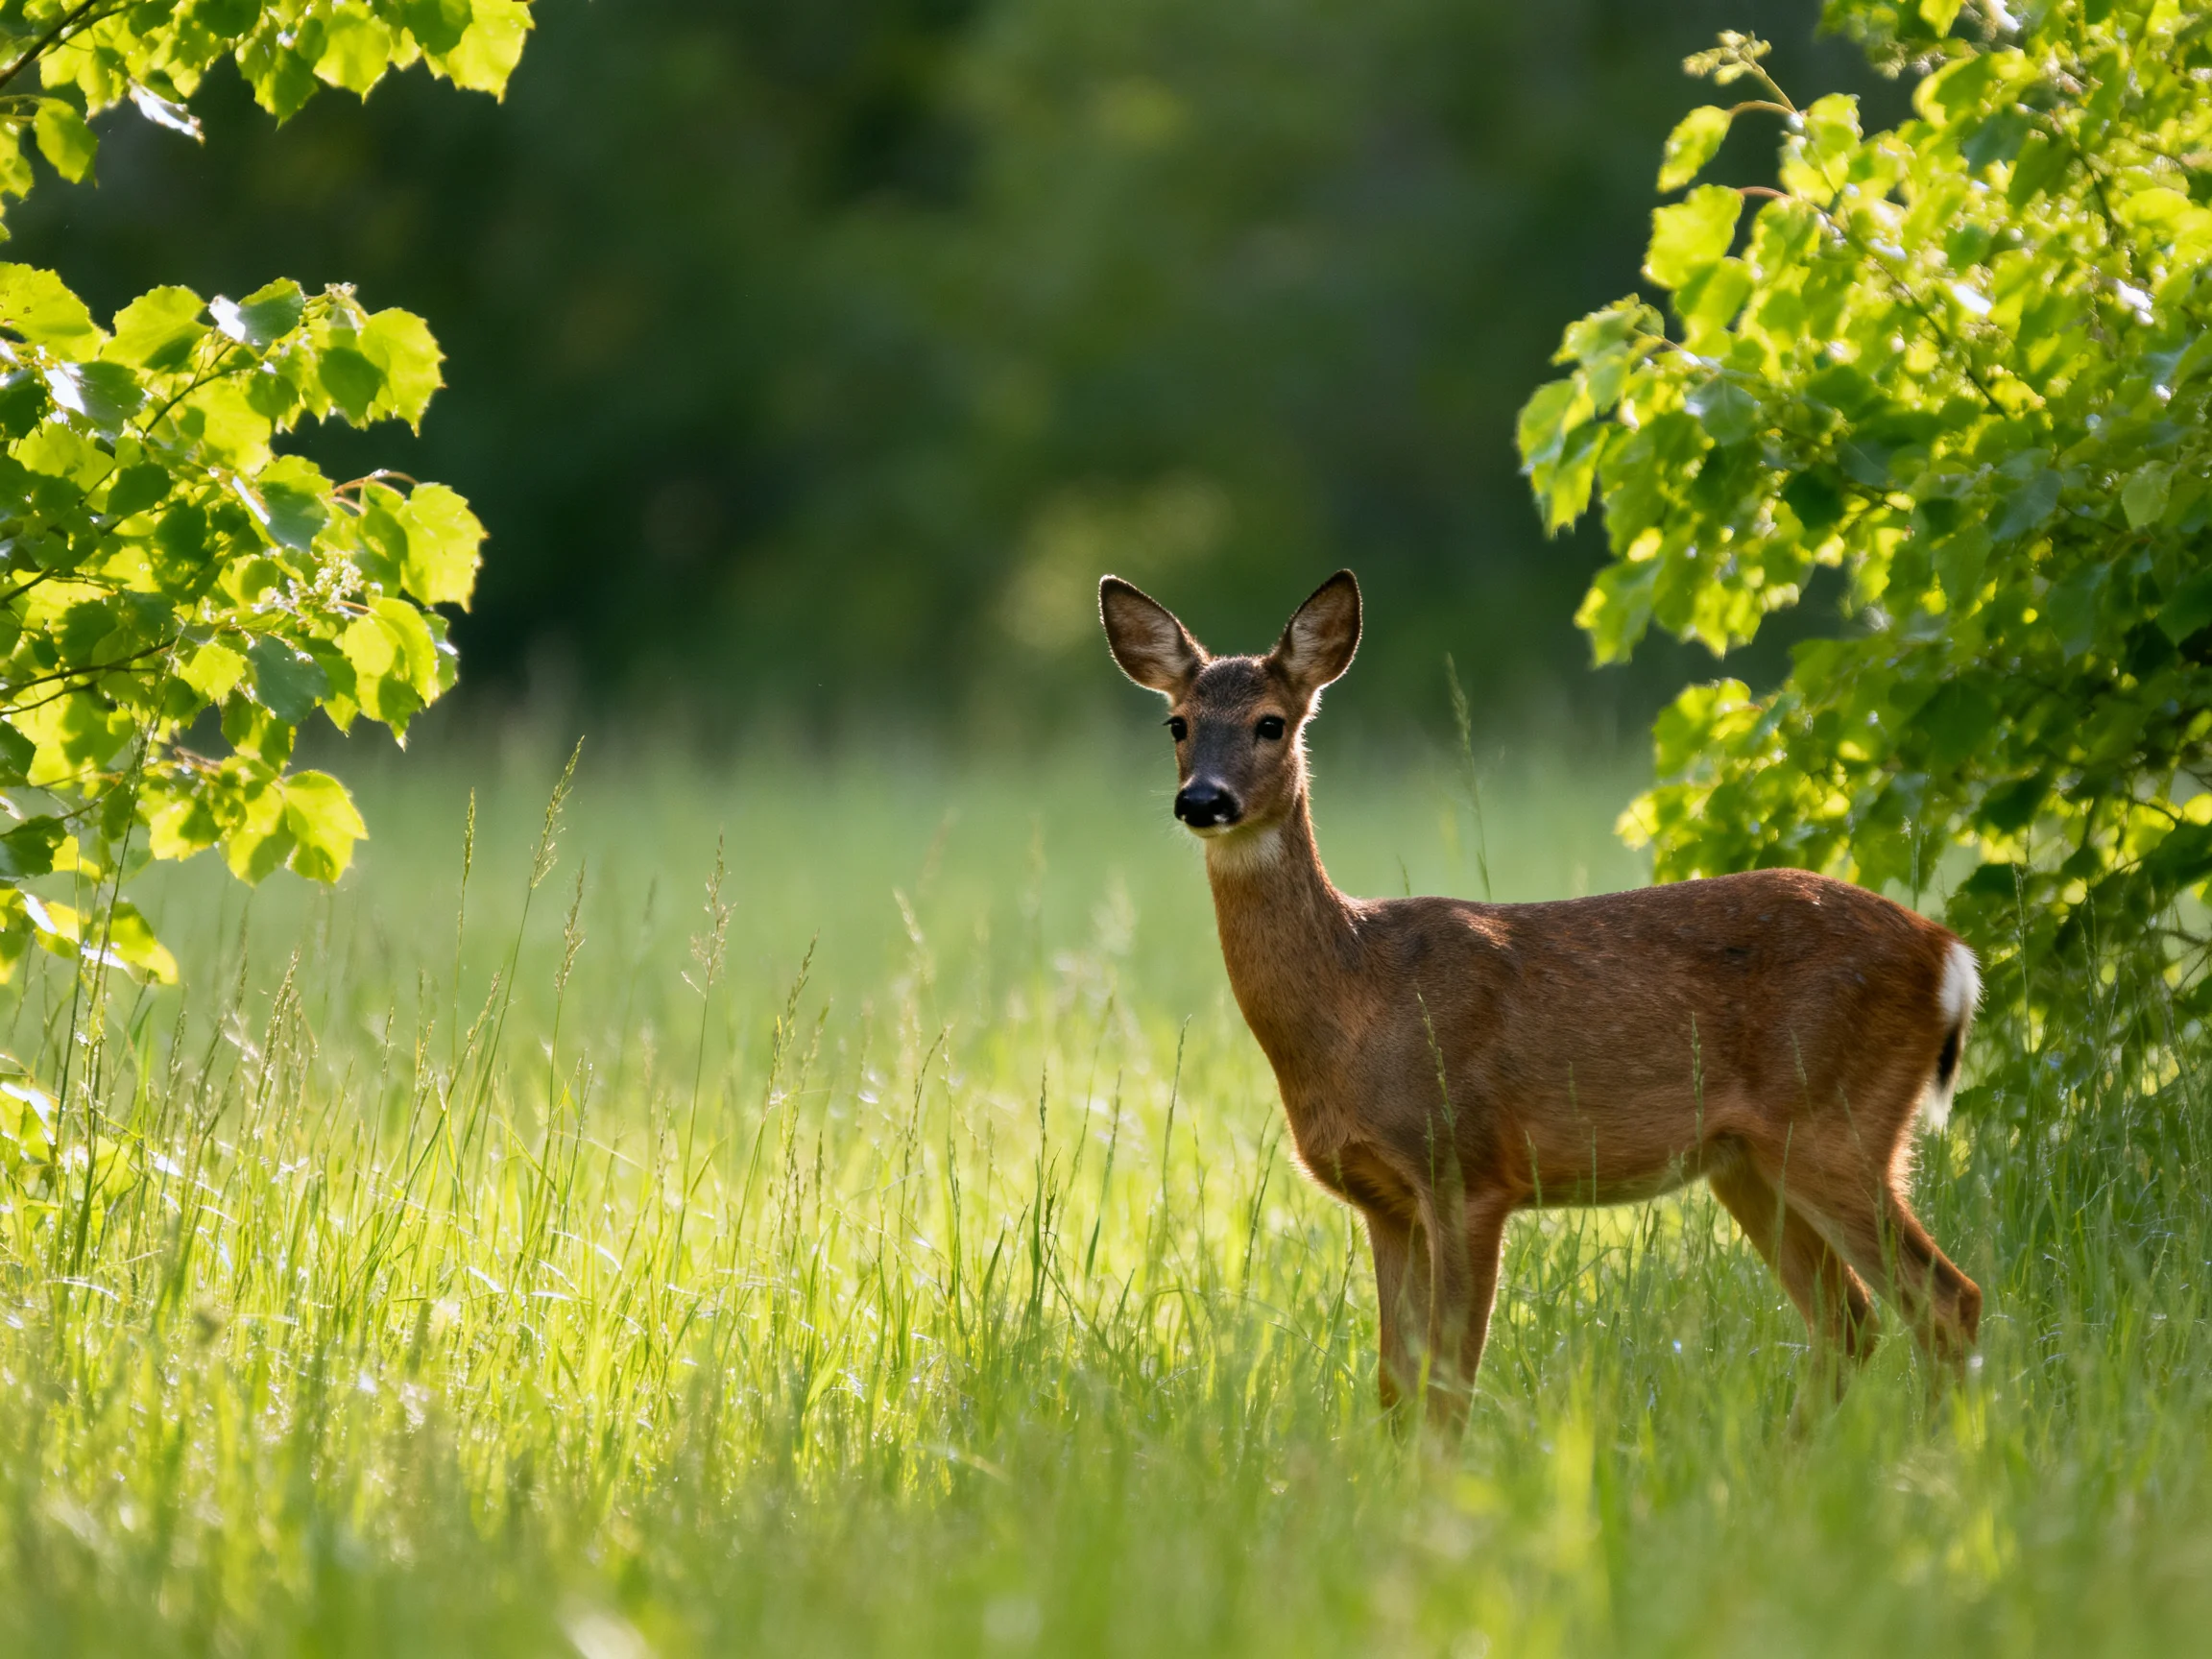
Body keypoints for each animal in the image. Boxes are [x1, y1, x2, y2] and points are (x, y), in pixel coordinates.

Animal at [1098, 569, 1984, 1431]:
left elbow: (1448, 1382)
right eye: (1177, 724)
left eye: (1272, 723)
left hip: (1835, 1121)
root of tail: (1950, 955)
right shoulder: (1383, 1198)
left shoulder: (1467, 1167)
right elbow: (1395, 1385)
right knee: (1849, 1320)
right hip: (1749, 1159)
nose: (1203, 800)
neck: (1357, 998)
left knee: (1946, 1300)